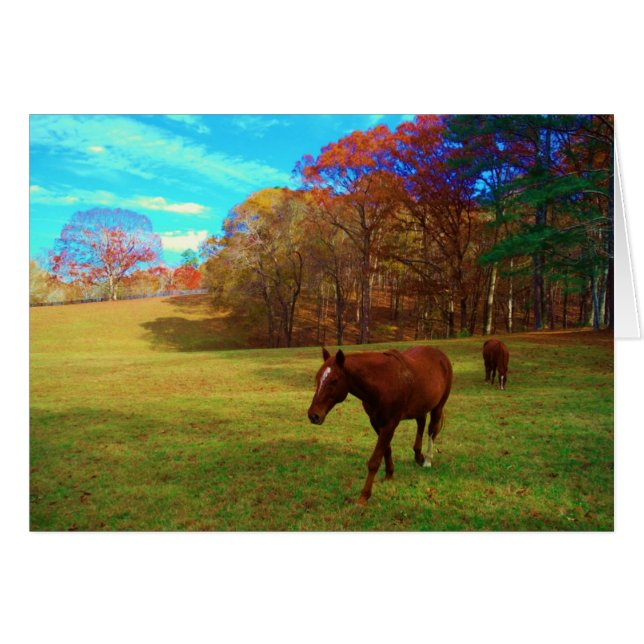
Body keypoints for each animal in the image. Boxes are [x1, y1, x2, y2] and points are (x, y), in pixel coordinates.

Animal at [307, 345, 453, 504]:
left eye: (333, 380)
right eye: (317, 378)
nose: (313, 415)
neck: (382, 382)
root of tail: (440, 355)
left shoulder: (390, 424)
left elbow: (375, 461)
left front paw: (364, 496)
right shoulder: (376, 423)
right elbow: (386, 450)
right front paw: (389, 475)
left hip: (438, 406)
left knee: (431, 430)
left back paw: (427, 460)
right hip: (420, 406)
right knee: (421, 423)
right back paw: (418, 455)